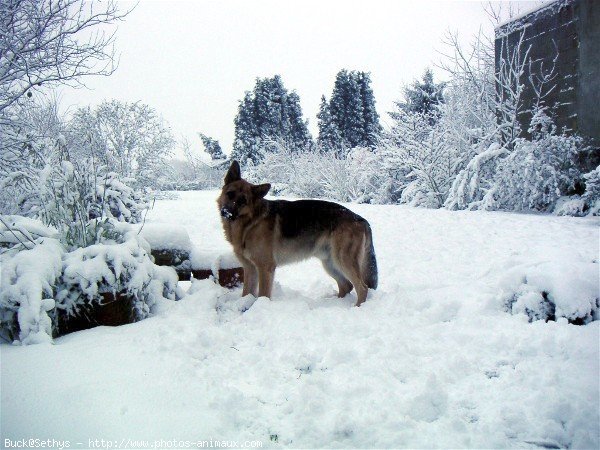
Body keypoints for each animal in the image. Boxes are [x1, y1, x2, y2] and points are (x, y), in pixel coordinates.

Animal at [218, 161, 378, 306]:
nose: (226, 212)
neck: (250, 223)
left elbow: (263, 294)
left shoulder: (265, 268)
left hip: (343, 260)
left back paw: (357, 308)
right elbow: (247, 293)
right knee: (346, 285)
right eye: (230, 194)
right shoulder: (250, 269)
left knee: (362, 287)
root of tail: (361, 219)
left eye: (243, 201)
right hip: (330, 263)